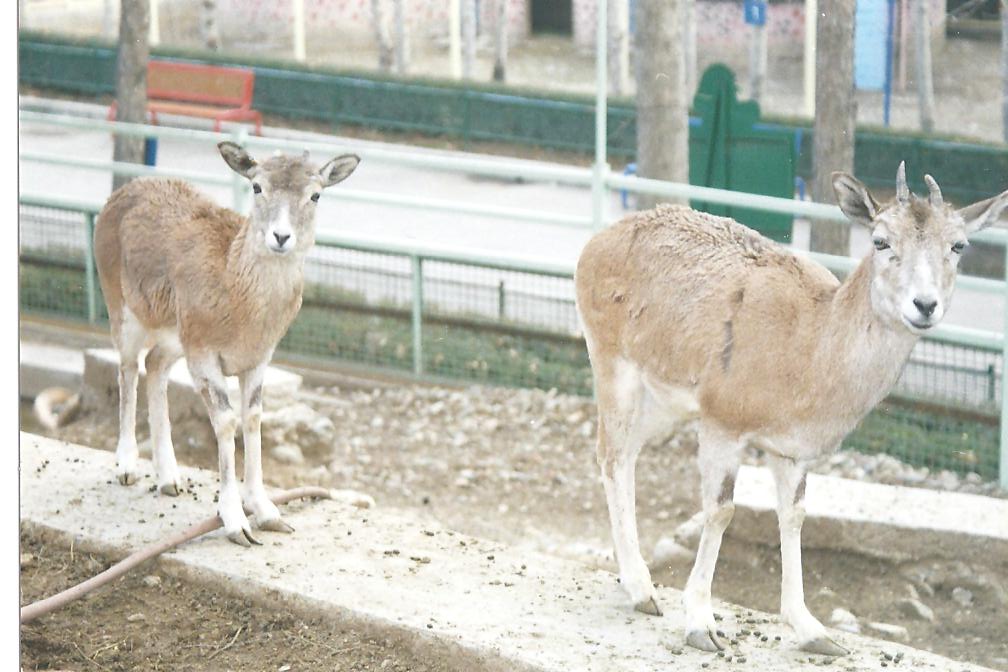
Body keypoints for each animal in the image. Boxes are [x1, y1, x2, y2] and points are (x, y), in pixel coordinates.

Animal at [94, 142, 360, 546]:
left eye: (315, 194)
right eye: (257, 186)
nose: (280, 237)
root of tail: (117, 196)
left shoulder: (258, 357)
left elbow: (252, 417)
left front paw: (269, 513)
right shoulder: (204, 352)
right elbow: (225, 421)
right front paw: (237, 523)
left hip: (176, 334)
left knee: (155, 365)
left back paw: (170, 478)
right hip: (121, 305)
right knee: (127, 367)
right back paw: (126, 467)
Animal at [574, 163, 1007, 655]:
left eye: (958, 245)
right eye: (880, 240)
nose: (925, 305)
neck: (805, 355)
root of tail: (594, 244)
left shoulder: (793, 450)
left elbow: (794, 516)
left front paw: (814, 631)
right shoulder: (722, 419)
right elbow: (720, 510)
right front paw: (702, 624)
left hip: (664, 399)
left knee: (627, 454)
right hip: (611, 360)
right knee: (611, 454)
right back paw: (640, 589)